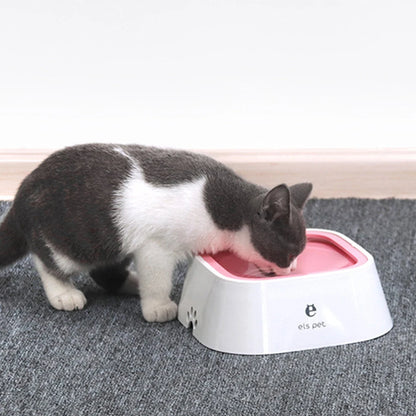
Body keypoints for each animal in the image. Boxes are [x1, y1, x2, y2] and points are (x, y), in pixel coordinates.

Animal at [0, 143, 312, 322]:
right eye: (289, 253)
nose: (292, 269)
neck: (223, 208)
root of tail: (22, 190)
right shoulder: (155, 245)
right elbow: (157, 278)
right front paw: (158, 307)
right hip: (74, 237)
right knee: (48, 261)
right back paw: (64, 293)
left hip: (114, 238)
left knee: (105, 271)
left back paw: (131, 282)